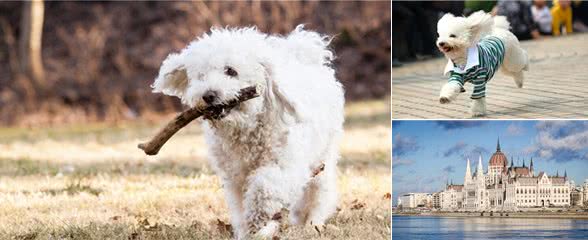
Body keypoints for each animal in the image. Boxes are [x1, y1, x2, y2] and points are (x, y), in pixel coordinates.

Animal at [150, 25, 344, 239]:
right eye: (201, 76)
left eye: (230, 71)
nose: (208, 95)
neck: (247, 128)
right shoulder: (235, 177)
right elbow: (241, 205)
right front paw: (250, 230)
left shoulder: (285, 165)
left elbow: (264, 185)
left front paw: (257, 217)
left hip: (323, 156)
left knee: (318, 192)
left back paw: (311, 222)